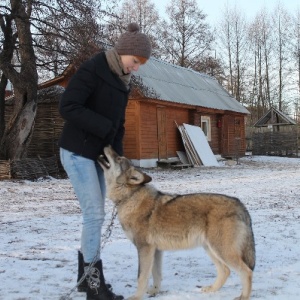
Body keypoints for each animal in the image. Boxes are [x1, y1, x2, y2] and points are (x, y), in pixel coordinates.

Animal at [98, 145, 255, 300]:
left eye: (119, 158)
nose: (107, 145)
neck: (129, 197)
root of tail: (240, 204)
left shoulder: (144, 248)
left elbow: (141, 276)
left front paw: (136, 297)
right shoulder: (155, 251)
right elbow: (156, 275)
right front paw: (155, 292)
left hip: (221, 251)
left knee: (246, 271)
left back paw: (243, 297)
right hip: (210, 249)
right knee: (225, 270)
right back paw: (211, 289)